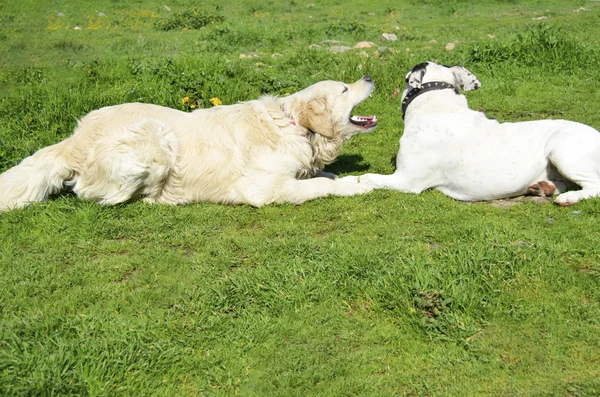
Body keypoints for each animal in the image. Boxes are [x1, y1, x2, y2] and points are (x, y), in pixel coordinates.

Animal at [0, 75, 378, 209]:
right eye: (345, 89)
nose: (369, 76)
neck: (293, 126)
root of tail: (73, 139)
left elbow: (327, 176)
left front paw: (355, 180)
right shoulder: (266, 188)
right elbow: (320, 185)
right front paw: (351, 188)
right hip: (155, 140)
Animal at [344, 61, 600, 207]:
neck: (439, 106)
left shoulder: (406, 180)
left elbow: (368, 177)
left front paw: (354, 181)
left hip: (562, 150)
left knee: (593, 186)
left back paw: (569, 198)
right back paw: (543, 188)